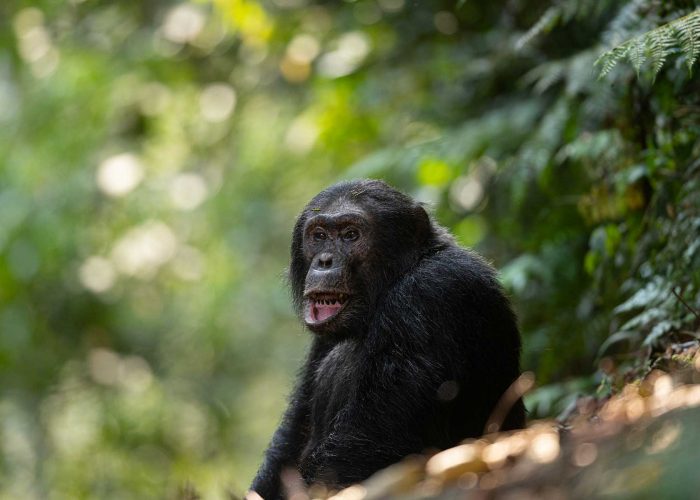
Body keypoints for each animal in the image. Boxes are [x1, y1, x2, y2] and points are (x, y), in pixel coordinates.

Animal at [249, 181, 524, 500]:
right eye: (319, 236)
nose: (324, 260)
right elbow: (295, 429)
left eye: (351, 235)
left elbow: (369, 440)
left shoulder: (430, 294)